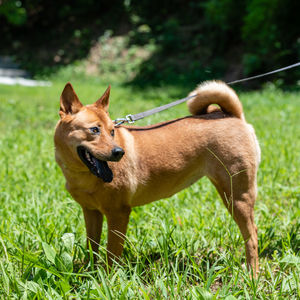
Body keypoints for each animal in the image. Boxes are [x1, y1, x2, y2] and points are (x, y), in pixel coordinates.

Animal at [54, 81, 260, 274]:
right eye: (94, 130)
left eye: (112, 131)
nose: (119, 152)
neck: (83, 175)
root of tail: (232, 115)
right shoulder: (91, 212)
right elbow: (92, 247)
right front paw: (89, 273)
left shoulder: (118, 213)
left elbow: (111, 254)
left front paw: (107, 279)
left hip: (236, 196)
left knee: (252, 236)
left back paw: (252, 273)